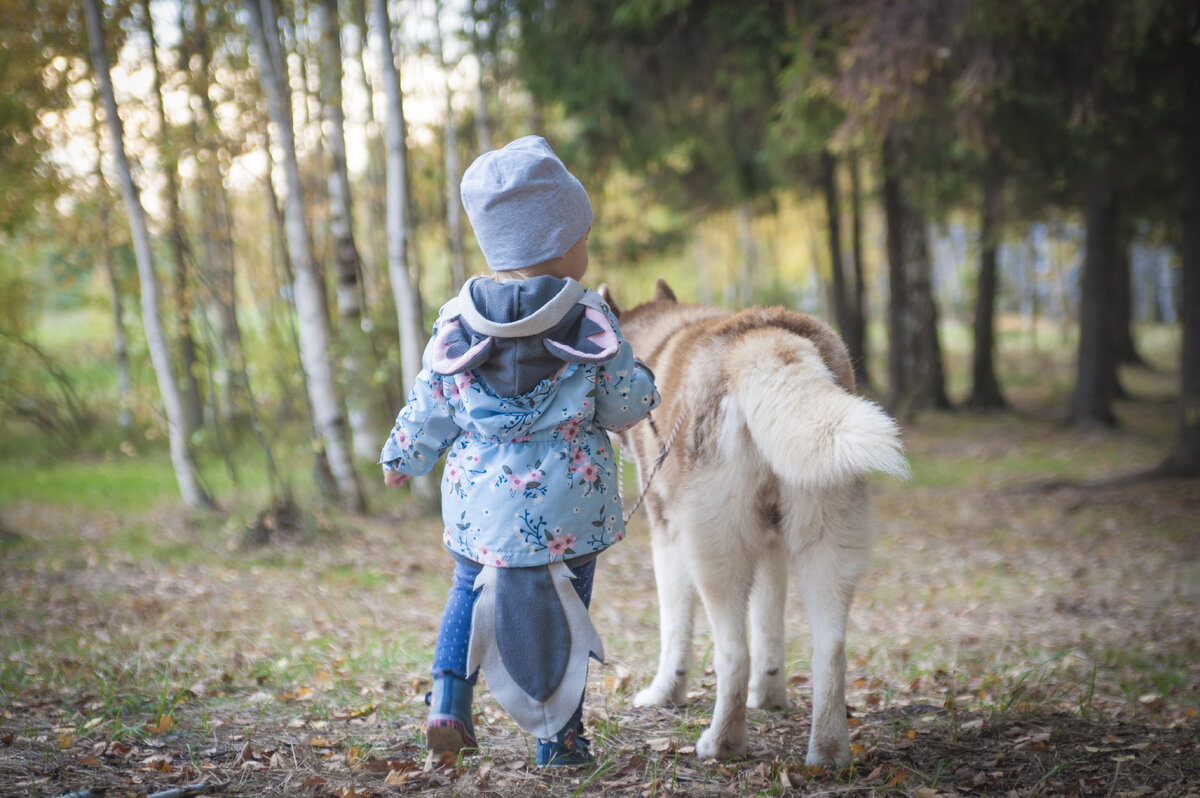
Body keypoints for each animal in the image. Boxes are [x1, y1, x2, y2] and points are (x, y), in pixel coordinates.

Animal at [604, 282, 902, 768]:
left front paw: (665, 693)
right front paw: (770, 695)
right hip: (823, 537)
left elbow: (675, 630)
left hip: (714, 549)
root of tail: (763, 338)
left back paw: (723, 742)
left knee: (732, 652)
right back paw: (829, 751)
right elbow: (770, 627)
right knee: (831, 649)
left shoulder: (667, 534)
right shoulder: (772, 543)